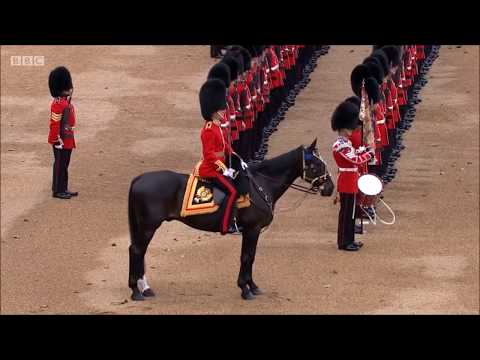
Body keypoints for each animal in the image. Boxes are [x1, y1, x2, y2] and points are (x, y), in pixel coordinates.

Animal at [127, 140, 334, 300]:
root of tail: (139, 178)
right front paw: (245, 288)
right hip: (148, 226)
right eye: (316, 165)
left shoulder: (253, 231)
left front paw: (252, 286)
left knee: (139, 251)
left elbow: (251, 257)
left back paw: (144, 288)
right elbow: (247, 256)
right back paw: (136, 290)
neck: (260, 185)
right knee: (137, 251)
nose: (330, 188)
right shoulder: (252, 229)